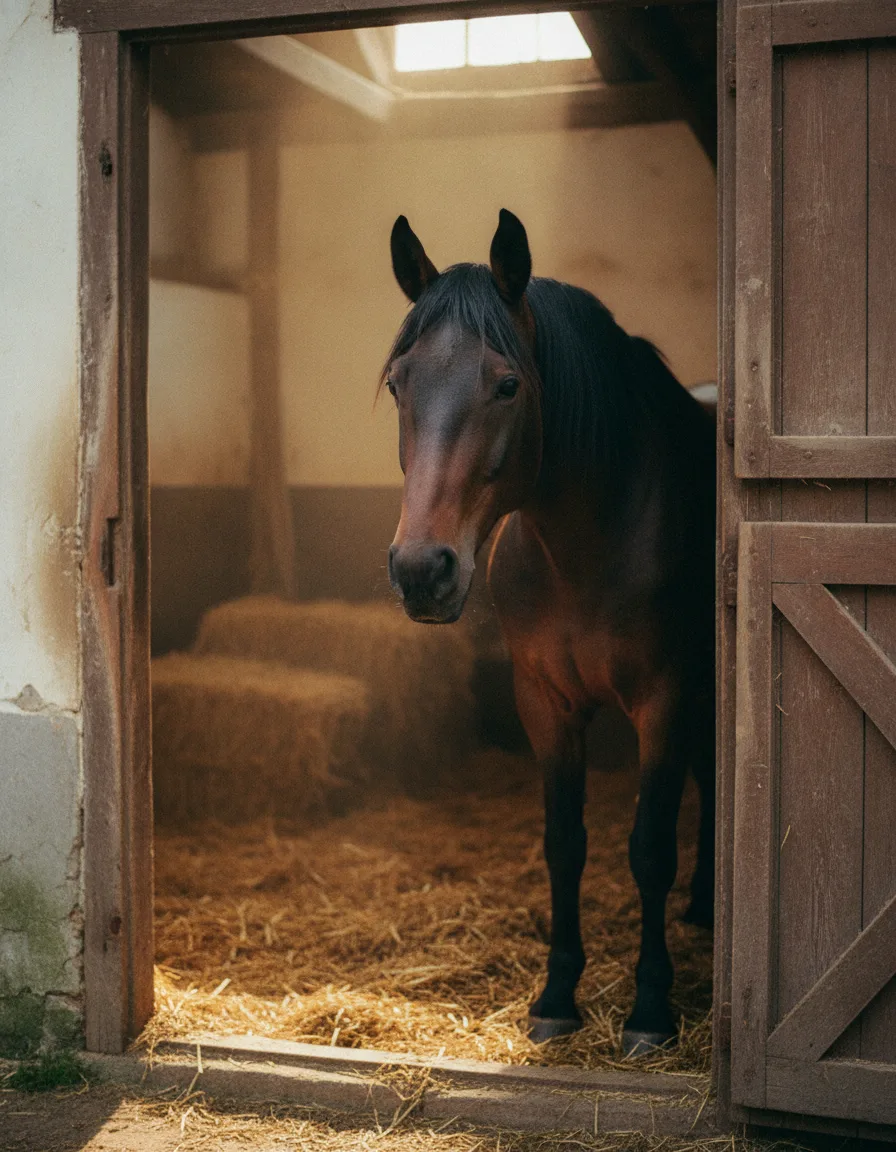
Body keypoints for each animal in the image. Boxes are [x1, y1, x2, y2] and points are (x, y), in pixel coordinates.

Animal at [382, 209, 715, 1055]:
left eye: (507, 385)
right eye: (398, 384)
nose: (421, 570)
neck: (586, 545)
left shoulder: (663, 701)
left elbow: (649, 849)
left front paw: (651, 1009)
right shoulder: (544, 702)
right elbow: (564, 845)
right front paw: (559, 996)